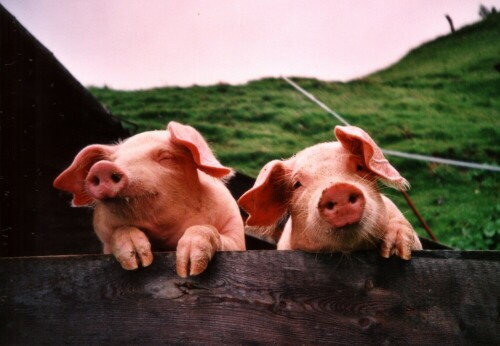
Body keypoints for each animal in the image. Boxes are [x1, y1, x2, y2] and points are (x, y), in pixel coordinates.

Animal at [54, 120, 246, 278]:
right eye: (115, 160)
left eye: (166, 157)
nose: (102, 167)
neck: (164, 239)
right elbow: (120, 232)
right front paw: (138, 261)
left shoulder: (235, 234)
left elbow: (211, 231)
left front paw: (189, 269)